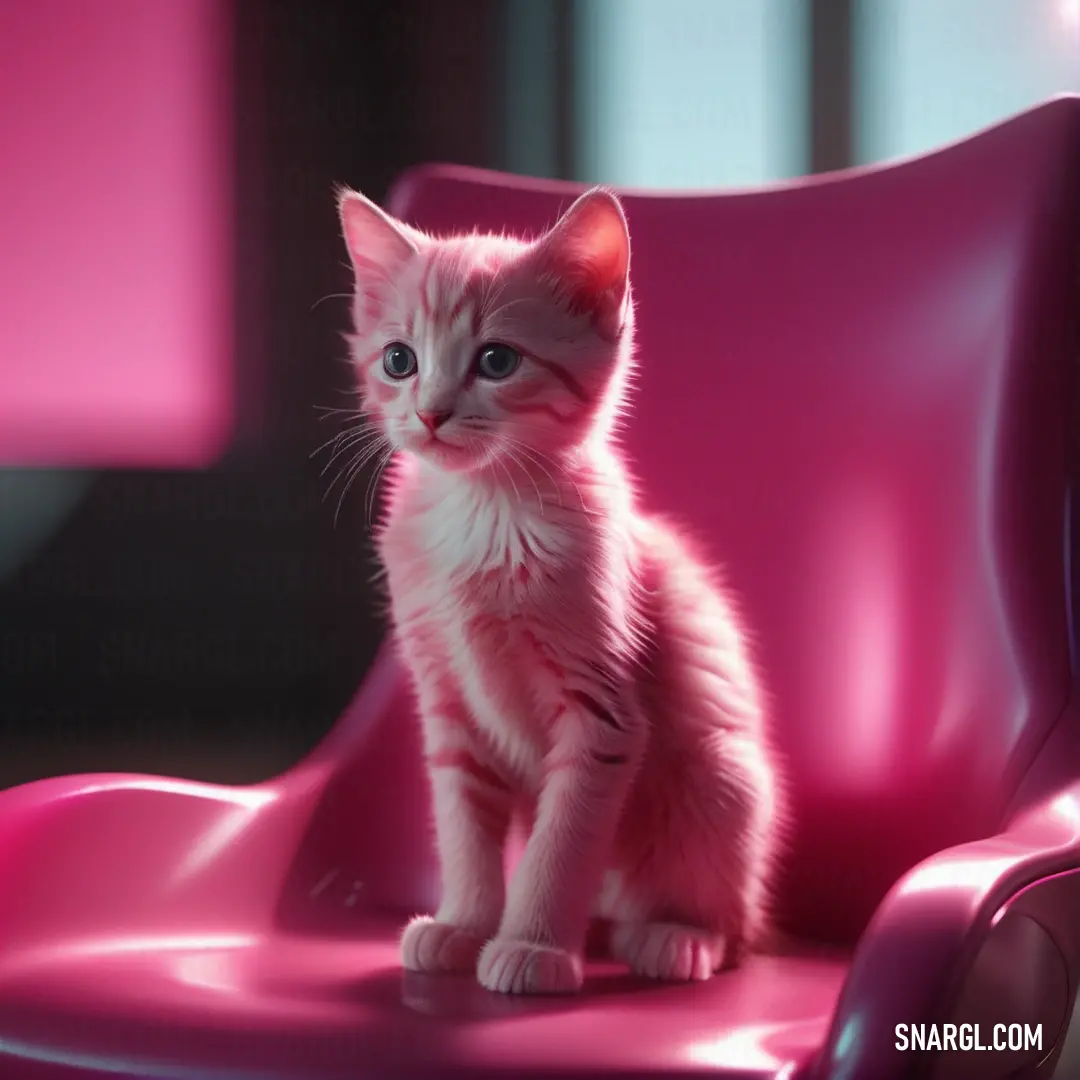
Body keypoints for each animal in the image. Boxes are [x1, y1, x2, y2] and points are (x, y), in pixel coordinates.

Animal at [332, 179, 781, 993]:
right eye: (399, 359)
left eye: (497, 360)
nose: (430, 412)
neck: (482, 511)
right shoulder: (448, 706)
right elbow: (464, 831)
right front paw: (464, 924)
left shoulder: (603, 716)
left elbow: (561, 844)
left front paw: (533, 945)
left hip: (720, 779)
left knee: (736, 924)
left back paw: (677, 937)